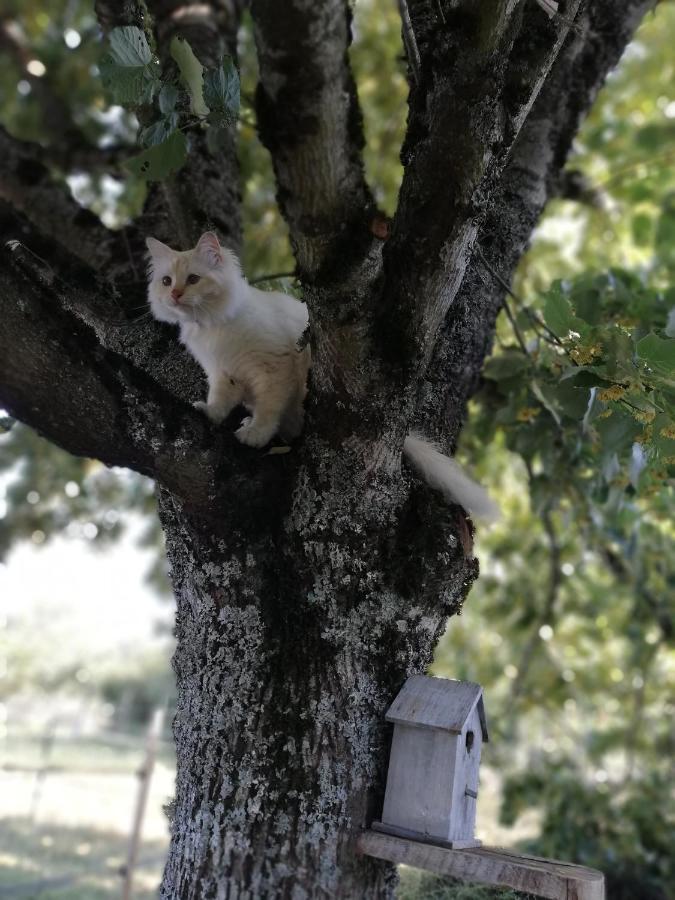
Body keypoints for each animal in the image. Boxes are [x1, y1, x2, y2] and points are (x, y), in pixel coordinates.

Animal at [147, 229, 310, 446]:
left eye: (193, 279)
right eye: (166, 281)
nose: (175, 294)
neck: (211, 324)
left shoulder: (275, 369)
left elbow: (268, 408)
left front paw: (256, 433)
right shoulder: (223, 373)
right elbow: (219, 401)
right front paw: (209, 412)